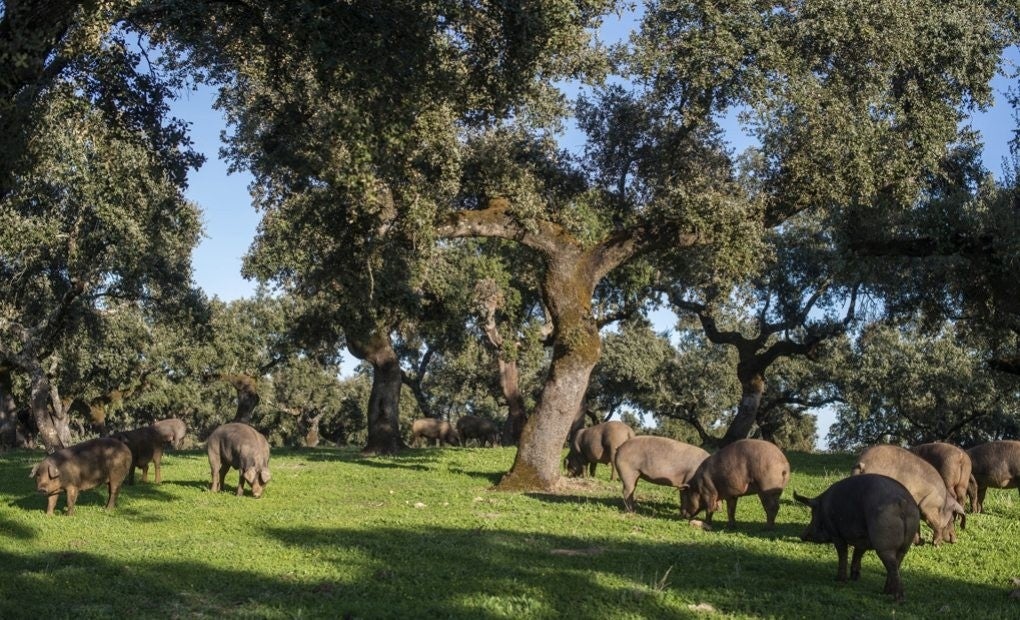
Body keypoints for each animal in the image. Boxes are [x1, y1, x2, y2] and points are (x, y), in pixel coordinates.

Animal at [791, 475, 922, 599]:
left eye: (812, 514)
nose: (801, 535)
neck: (823, 507)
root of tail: (902, 502)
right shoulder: (862, 539)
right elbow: (858, 553)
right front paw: (854, 578)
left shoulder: (836, 534)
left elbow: (843, 554)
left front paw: (840, 580)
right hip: (905, 544)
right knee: (897, 563)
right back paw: (886, 592)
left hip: (884, 542)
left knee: (893, 566)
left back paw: (897, 598)